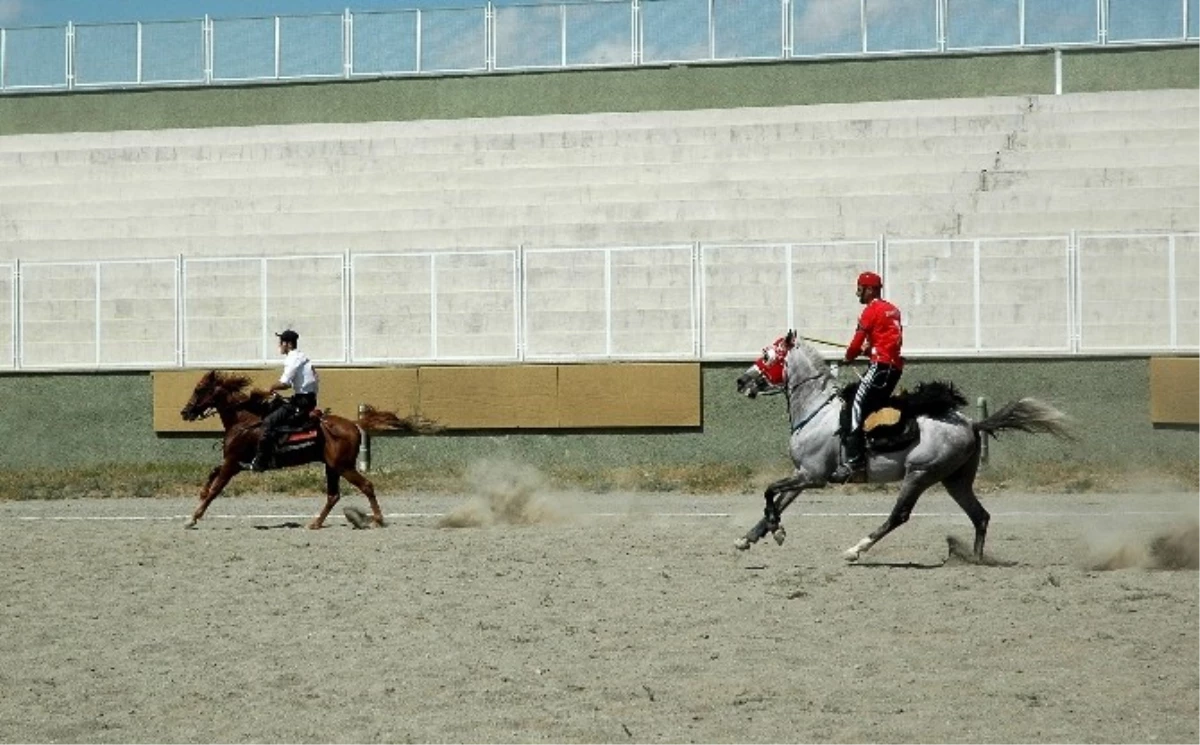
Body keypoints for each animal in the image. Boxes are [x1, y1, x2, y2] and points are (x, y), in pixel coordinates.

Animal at [177, 369, 441, 527]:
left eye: (199, 389)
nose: (185, 412)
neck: (245, 420)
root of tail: (354, 424)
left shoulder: (233, 463)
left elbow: (216, 489)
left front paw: (193, 518)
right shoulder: (234, 462)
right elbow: (211, 475)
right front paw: (199, 497)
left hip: (342, 466)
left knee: (366, 486)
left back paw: (377, 519)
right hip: (332, 467)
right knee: (333, 495)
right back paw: (315, 523)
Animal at [734, 328, 1075, 561]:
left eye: (767, 355)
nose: (741, 381)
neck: (816, 410)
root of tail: (970, 423)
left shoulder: (813, 476)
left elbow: (769, 492)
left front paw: (777, 531)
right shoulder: (802, 474)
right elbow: (777, 501)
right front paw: (750, 537)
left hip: (919, 474)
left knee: (899, 516)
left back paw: (856, 549)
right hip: (956, 481)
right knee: (980, 516)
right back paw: (975, 560)